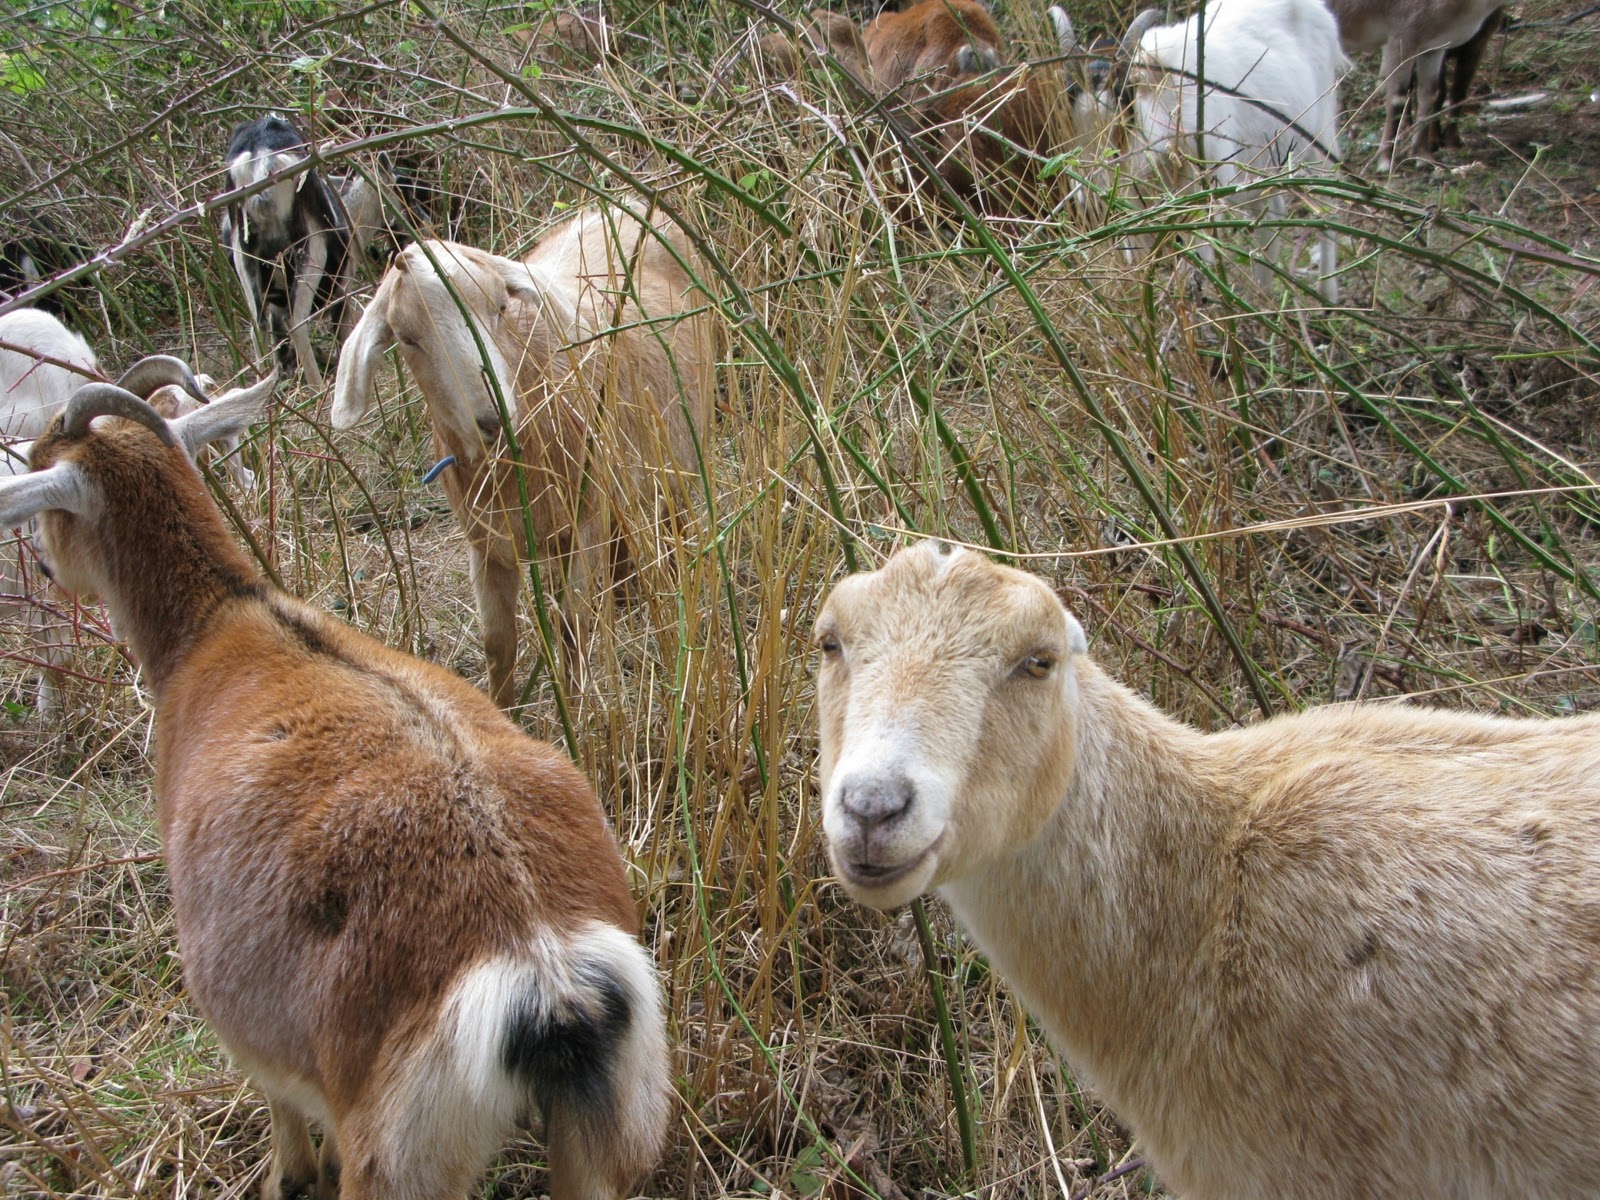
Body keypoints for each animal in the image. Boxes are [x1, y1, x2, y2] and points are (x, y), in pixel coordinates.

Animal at [0, 378, 671, 1200]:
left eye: (46, 490)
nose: (44, 567)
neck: (220, 620)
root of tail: (544, 973)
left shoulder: (240, 1023)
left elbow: (278, 1110)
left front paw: (287, 1175)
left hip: (397, 1152)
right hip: (609, 1122)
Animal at [331, 203, 716, 708]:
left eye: (500, 307)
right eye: (407, 338)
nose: (493, 417)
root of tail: (623, 204)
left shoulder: (583, 522)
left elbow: (572, 627)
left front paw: (577, 712)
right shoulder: (486, 543)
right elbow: (498, 643)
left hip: (681, 449)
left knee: (673, 523)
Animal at [1115, 0, 1347, 302]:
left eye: (1124, 98)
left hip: (1321, 132)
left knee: (1326, 201)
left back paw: (1327, 294)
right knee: (1270, 210)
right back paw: (1264, 292)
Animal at [1325, 0, 1503, 168]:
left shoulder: (1433, 48)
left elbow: (1429, 96)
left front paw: (1423, 157)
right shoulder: (1402, 35)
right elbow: (1397, 98)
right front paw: (1385, 161)